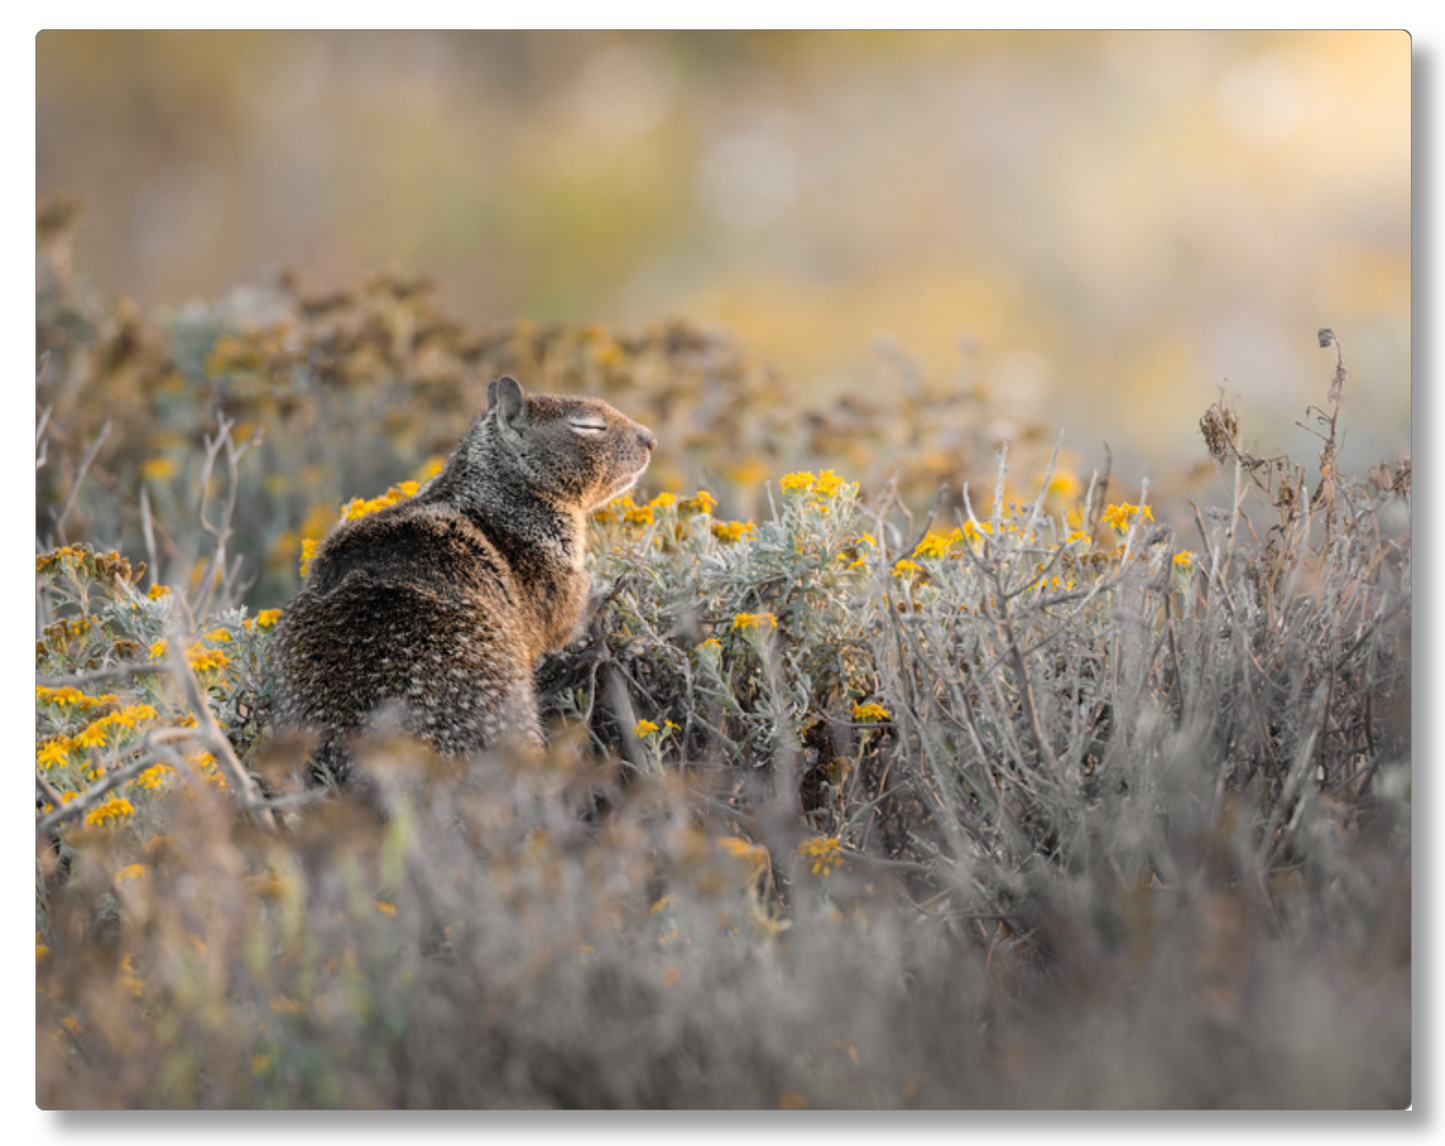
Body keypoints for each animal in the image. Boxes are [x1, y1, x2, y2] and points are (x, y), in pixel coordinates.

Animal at [271, 378, 656, 786]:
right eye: (589, 425)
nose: (651, 439)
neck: (495, 491)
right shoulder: (554, 574)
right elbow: (567, 621)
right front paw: (608, 594)